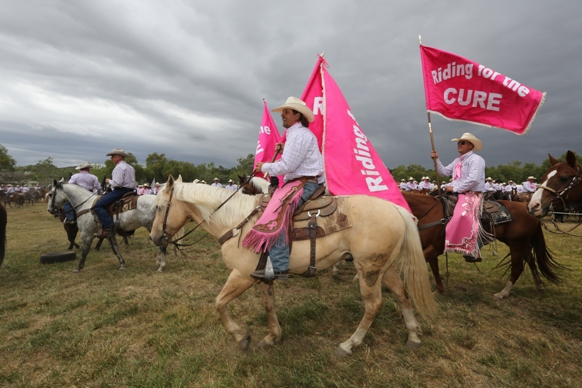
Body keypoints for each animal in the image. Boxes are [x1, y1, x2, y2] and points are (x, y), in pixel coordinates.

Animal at [151, 176, 438, 358]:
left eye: (158, 207)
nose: (154, 238)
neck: (236, 222)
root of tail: (397, 210)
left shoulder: (241, 276)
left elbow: (219, 304)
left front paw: (241, 338)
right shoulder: (261, 276)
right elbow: (269, 306)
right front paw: (272, 337)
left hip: (368, 269)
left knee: (374, 305)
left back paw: (348, 345)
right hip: (383, 268)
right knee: (402, 293)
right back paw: (413, 337)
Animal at [404, 192, 564, 298]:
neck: (431, 214)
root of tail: (530, 210)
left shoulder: (435, 248)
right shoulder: (429, 247)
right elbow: (435, 268)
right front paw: (438, 290)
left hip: (517, 244)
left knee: (518, 267)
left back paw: (502, 293)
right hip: (516, 243)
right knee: (530, 260)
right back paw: (539, 286)